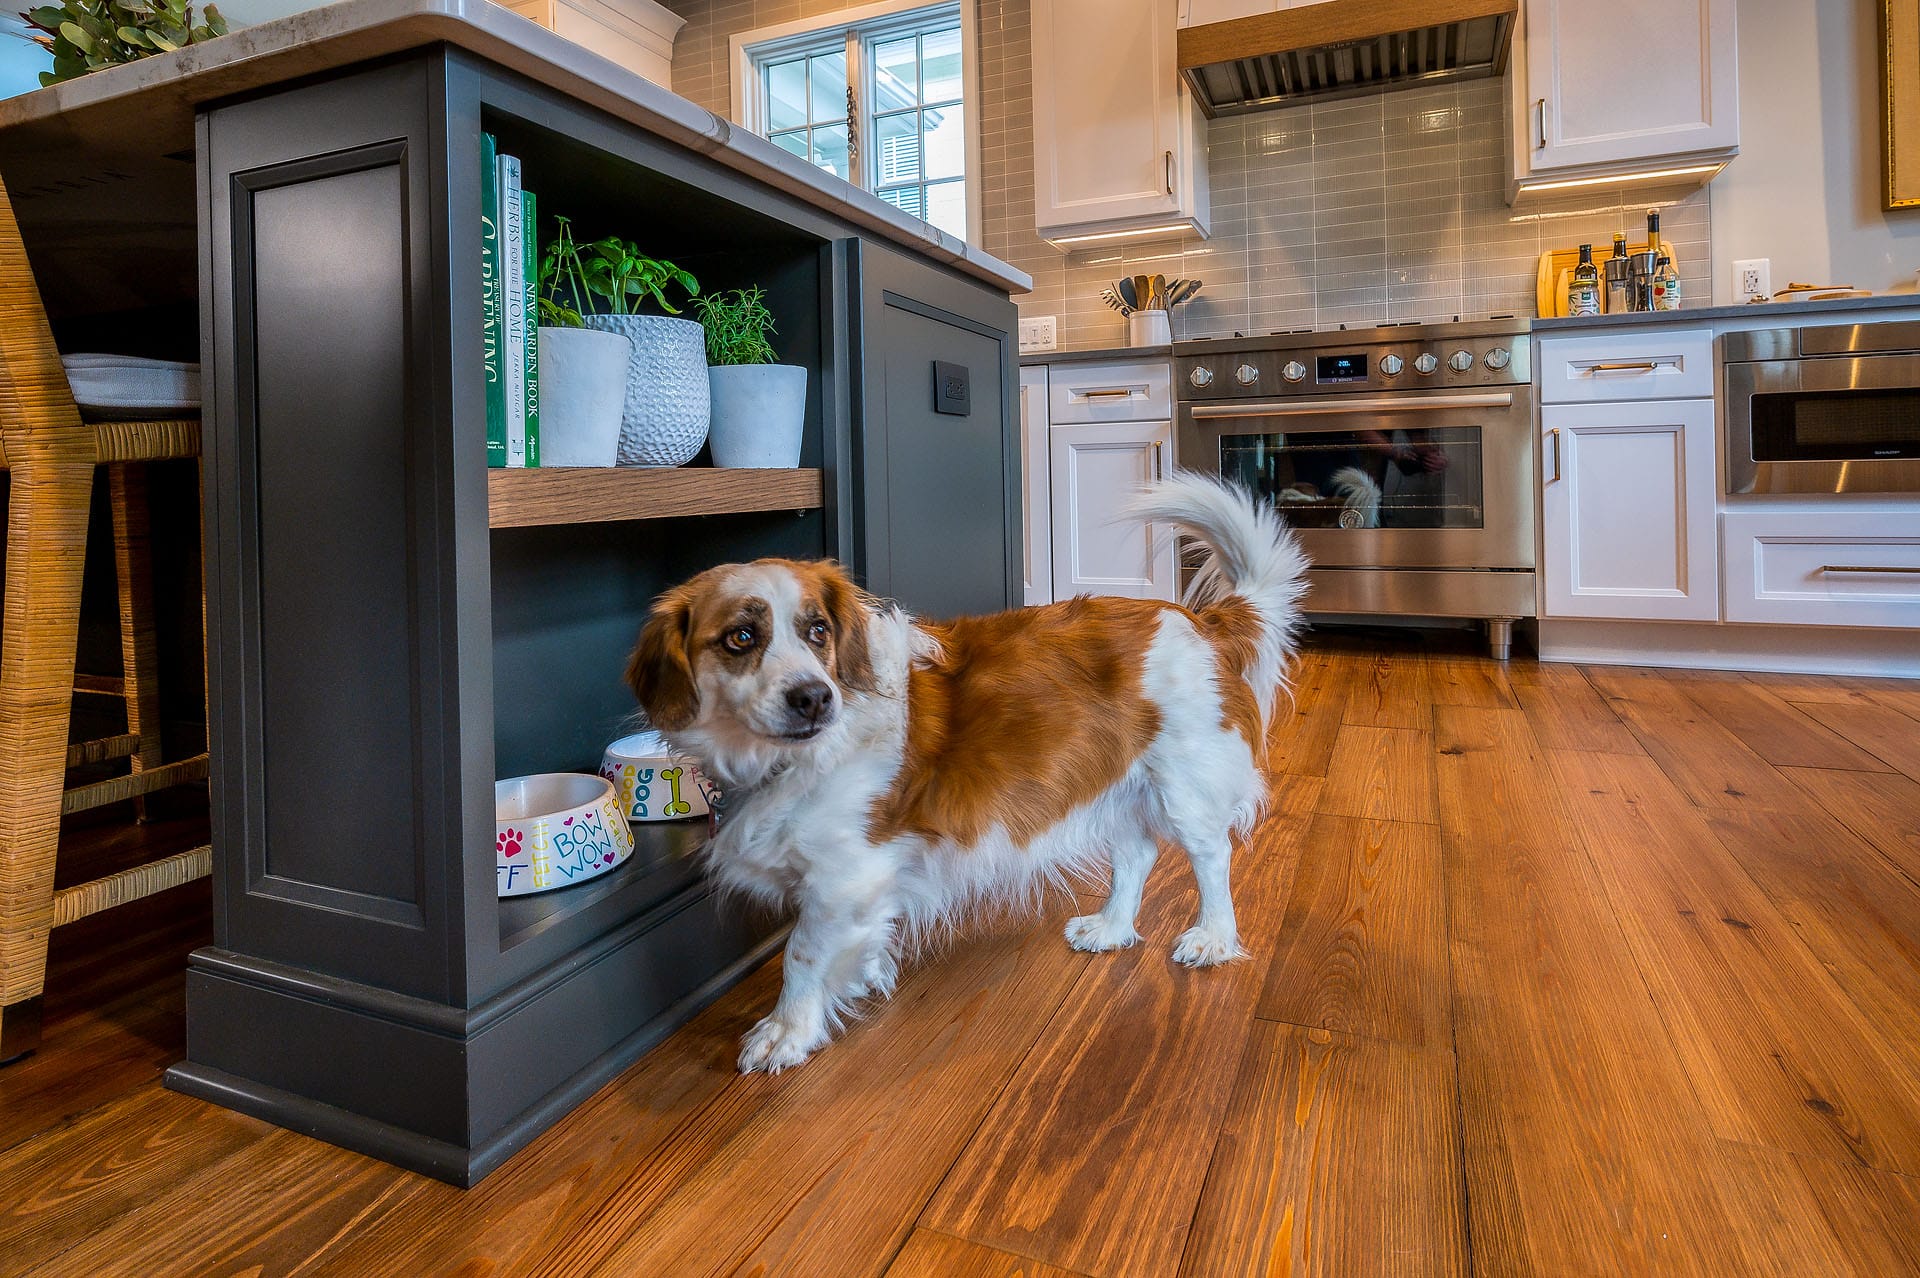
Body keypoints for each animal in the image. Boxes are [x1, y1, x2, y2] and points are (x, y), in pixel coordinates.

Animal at [622, 468, 1313, 1066]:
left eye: (818, 630)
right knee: (1138, 854)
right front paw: (865, 974)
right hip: (1116, 780)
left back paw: (1213, 938)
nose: (815, 697)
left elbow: (801, 954)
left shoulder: (845, 875)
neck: (790, 761)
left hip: (1184, 787)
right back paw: (1112, 927)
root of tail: (1202, 621)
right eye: (741, 638)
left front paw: (787, 1031)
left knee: (1210, 858)